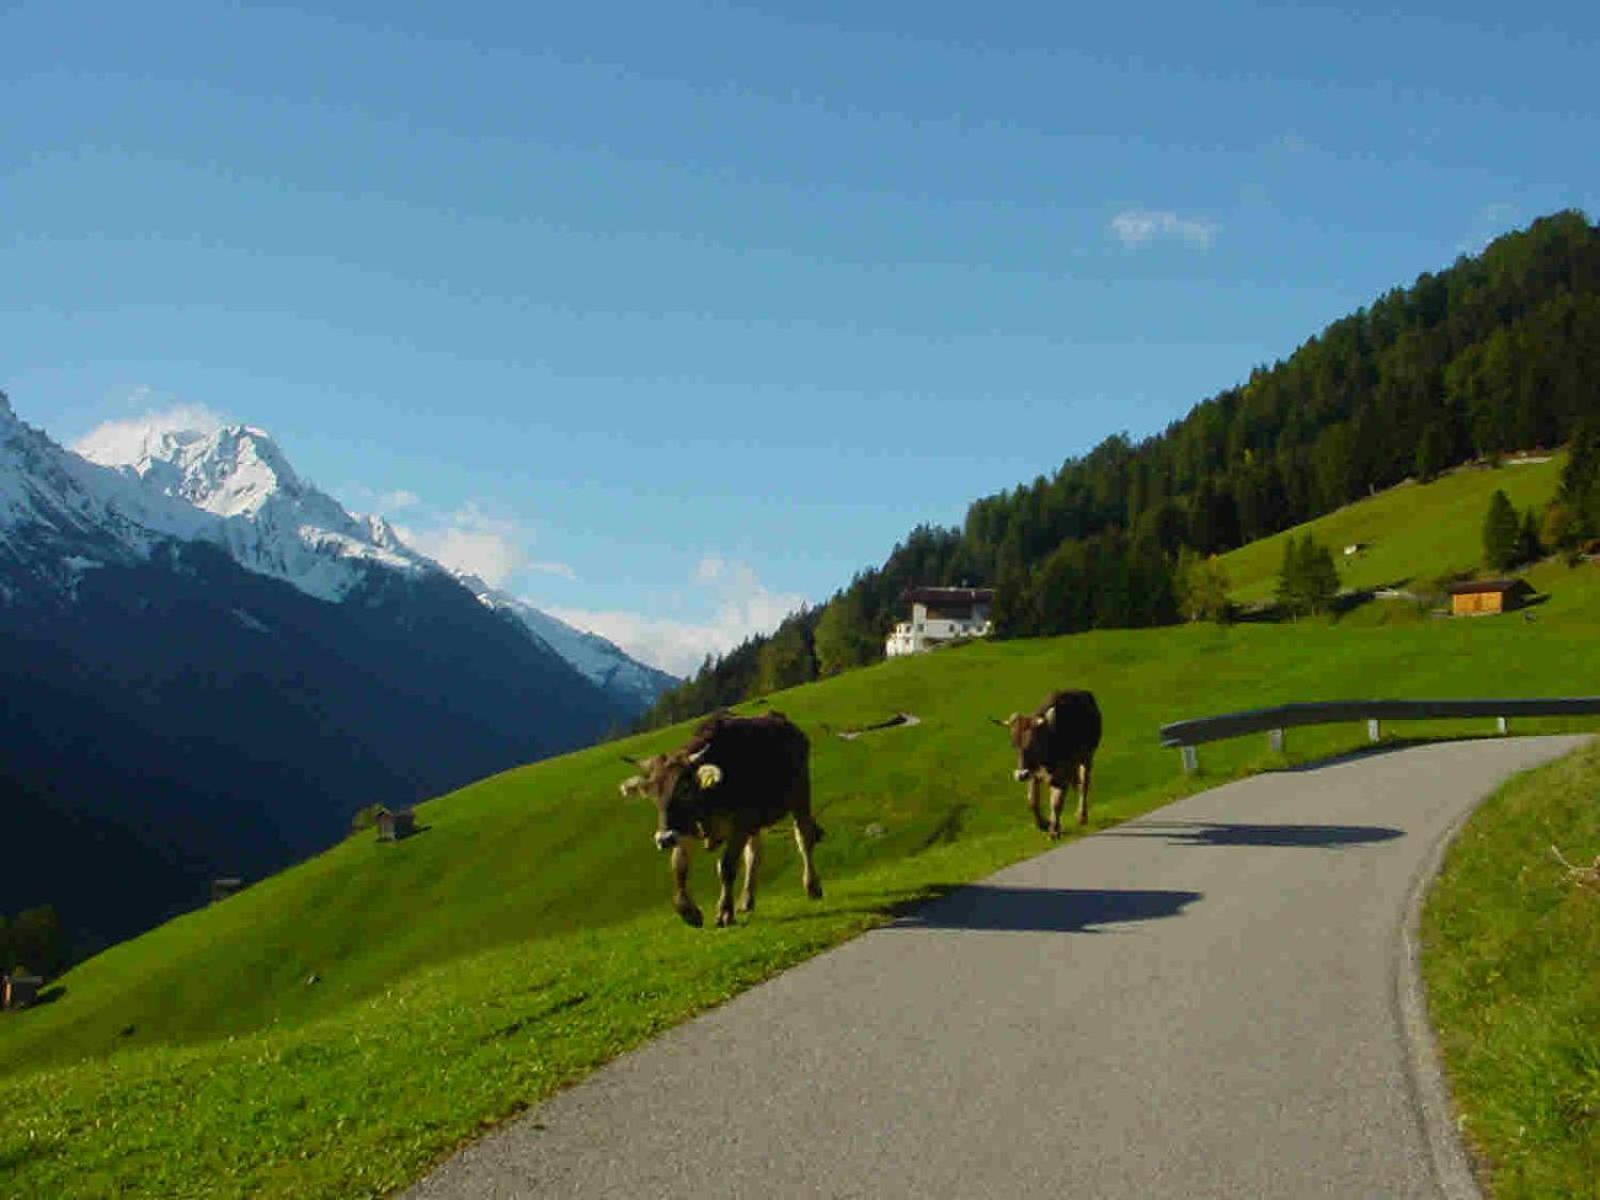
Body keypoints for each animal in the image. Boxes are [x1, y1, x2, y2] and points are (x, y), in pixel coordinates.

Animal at [614, 713, 825, 928]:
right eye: (652, 794)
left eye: (685, 789)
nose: (664, 839)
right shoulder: (685, 830)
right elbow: (679, 867)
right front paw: (689, 912)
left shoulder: (740, 825)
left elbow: (726, 867)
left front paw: (724, 912)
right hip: (756, 822)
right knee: (754, 854)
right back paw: (746, 900)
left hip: (800, 795)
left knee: (804, 838)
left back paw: (812, 886)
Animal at [985, 691, 1100, 838]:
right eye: (1013, 744)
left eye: (1032, 743)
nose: (1021, 775)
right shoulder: (1034, 773)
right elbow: (1032, 801)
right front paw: (1045, 824)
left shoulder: (1062, 773)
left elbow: (1056, 802)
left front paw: (1054, 830)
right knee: (1075, 784)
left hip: (1087, 757)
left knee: (1084, 784)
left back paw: (1081, 816)